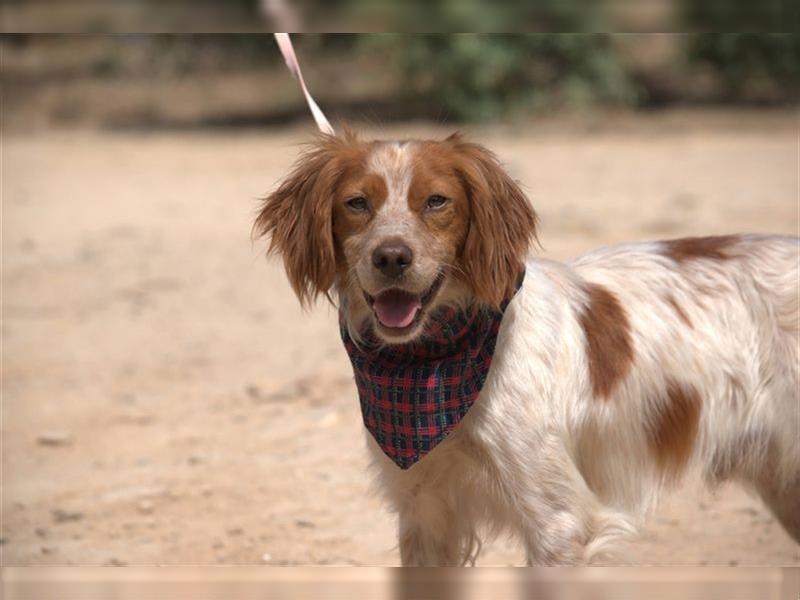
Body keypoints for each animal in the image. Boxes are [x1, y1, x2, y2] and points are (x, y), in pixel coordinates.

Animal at [256, 132, 800, 568]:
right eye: (356, 203)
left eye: (436, 201)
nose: (391, 257)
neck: (436, 367)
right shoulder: (423, 511)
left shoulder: (560, 523)